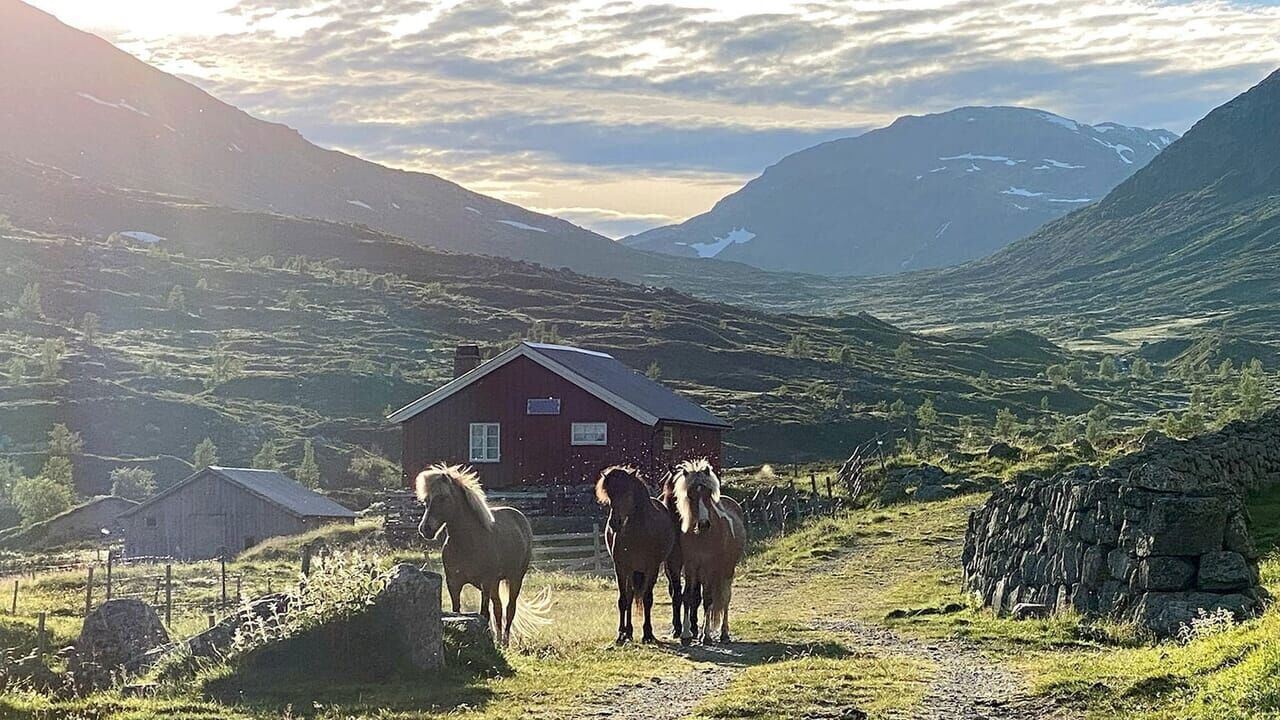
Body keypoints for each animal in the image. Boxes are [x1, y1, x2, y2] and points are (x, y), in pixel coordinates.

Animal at [417, 461, 532, 640]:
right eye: (426, 501)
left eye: (443, 498)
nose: (425, 529)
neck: (468, 544)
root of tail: (520, 517)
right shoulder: (454, 584)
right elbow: (457, 611)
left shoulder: (486, 583)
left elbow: (484, 614)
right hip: (496, 584)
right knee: (498, 608)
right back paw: (499, 640)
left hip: (514, 579)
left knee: (509, 609)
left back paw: (504, 641)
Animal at [596, 466, 680, 645]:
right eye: (609, 495)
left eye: (627, 493)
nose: (614, 523)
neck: (638, 531)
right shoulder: (621, 568)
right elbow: (623, 600)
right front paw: (621, 635)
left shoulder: (652, 568)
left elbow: (647, 599)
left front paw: (648, 634)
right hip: (631, 571)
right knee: (629, 597)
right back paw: (628, 632)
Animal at [675, 458, 747, 645]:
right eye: (690, 494)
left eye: (708, 494)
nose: (703, 524)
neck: (702, 537)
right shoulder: (691, 567)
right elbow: (688, 597)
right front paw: (686, 634)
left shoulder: (710, 568)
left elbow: (708, 600)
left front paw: (705, 635)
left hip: (727, 571)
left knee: (725, 598)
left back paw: (724, 634)